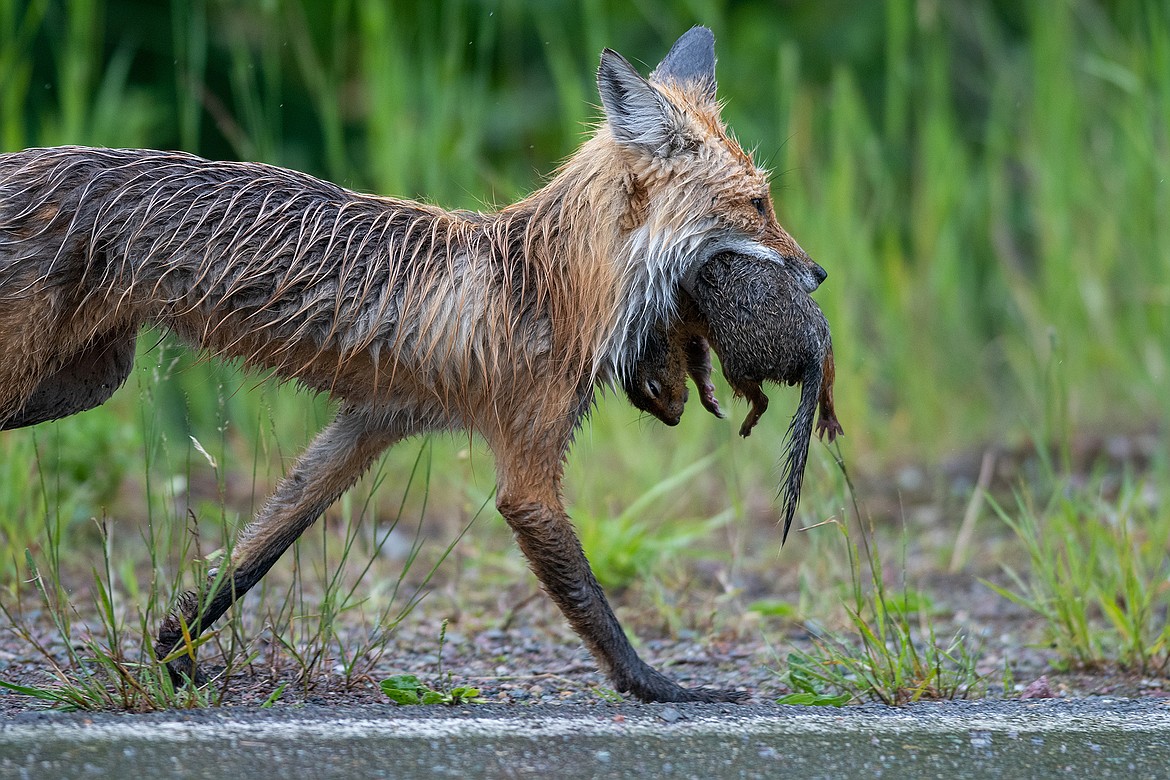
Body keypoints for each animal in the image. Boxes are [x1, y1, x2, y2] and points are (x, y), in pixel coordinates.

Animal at [2, 27, 823, 706]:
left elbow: (249, 558)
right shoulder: (528, 474)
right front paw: (661, 687)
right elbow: (594, 606)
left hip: (82, 382)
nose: (816, 275)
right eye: (758, 204)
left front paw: (174, 654)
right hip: (38, 378)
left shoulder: (367, 427)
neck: (549, 288)